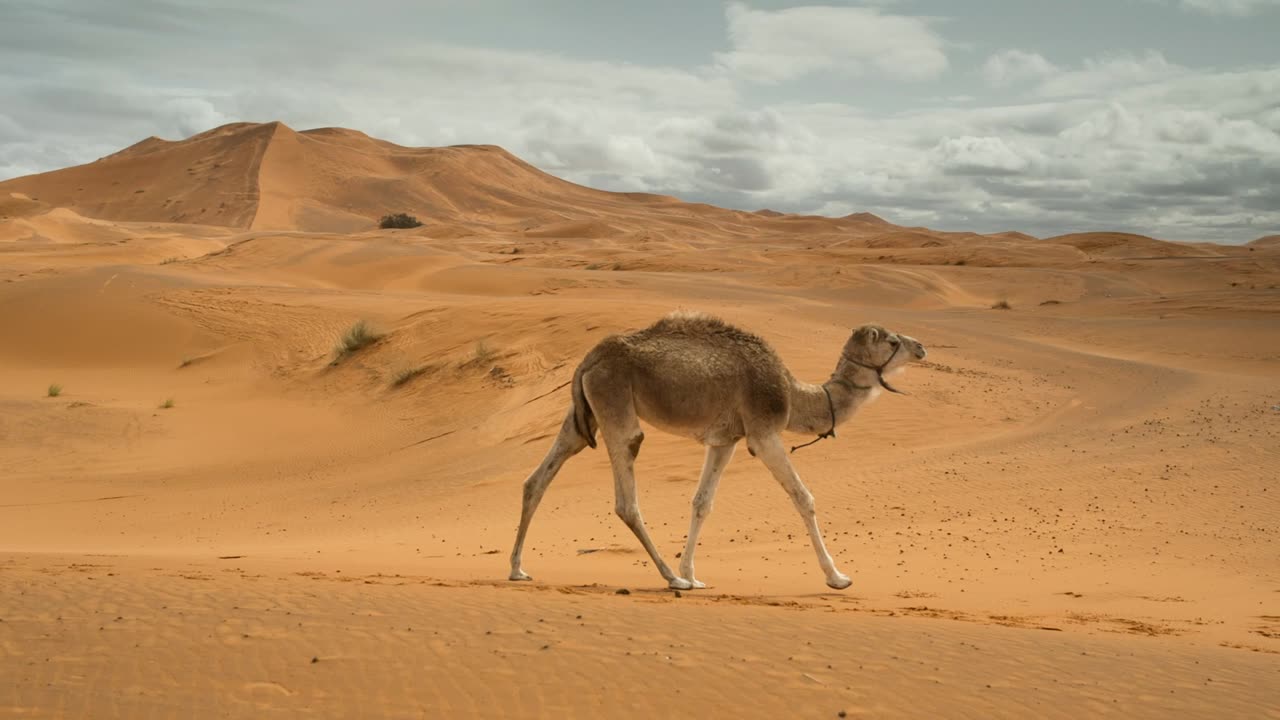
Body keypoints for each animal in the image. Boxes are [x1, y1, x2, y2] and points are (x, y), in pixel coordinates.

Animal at [504, 310, 926, 589]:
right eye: (891, 340)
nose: (921, 346)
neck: (794, 395)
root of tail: (587, 360)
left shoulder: (725, 440)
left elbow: (701, 502)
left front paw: (692, 572)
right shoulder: (762, 432)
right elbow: (803, 496)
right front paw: (837, 576)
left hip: (582, 415)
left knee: (536, 479)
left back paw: (517, 568)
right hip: (615, 403)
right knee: (626, 495)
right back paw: (669, 578)